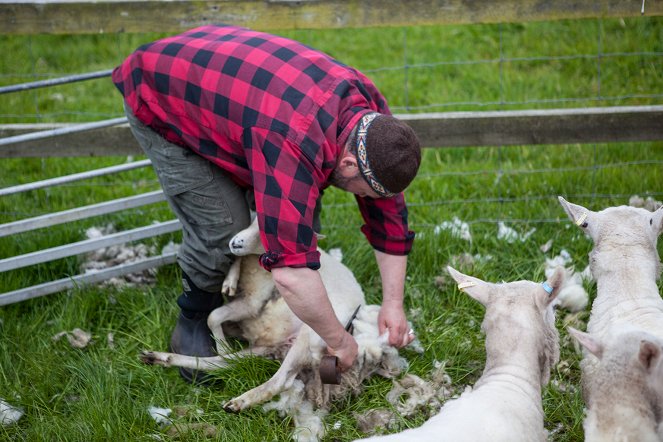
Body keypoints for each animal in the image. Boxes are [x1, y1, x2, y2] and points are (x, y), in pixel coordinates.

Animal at [141, 218, 410, 442]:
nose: (235, 243)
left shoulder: (254, 300)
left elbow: (212, 316)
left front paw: (223, 342)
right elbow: (214, 314)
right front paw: (230, 280)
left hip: (309, 337)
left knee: (280, 380)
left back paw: (239, 401)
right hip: (267, 347)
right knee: (221, 364)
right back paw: (159, 358)